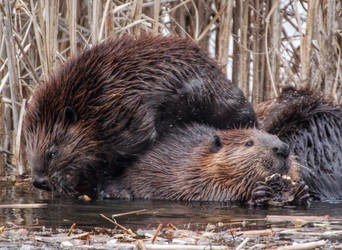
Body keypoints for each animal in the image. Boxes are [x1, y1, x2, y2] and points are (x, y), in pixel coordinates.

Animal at [101, 123, 308, 205]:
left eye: (275, 136)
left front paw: (301, 190)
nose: (283, 148)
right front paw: (258, 192)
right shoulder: (188, 176)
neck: (197, 159)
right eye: (249, 143)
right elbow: (211, 194)